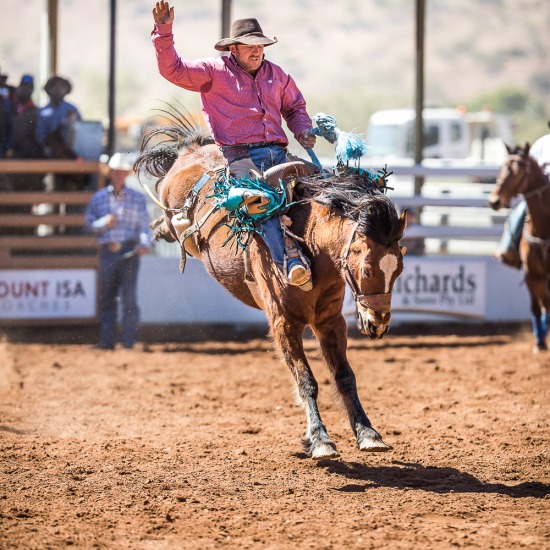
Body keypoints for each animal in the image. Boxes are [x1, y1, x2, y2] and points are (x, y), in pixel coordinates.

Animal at [136, 116, 408, 462]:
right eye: (368, 269)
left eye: (399, 269)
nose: (378, 323)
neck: (311, 246)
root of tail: (192, 149)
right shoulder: (283, 323)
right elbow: (306, 381)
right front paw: (319, 439)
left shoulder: (330, 321)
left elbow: (345, 376)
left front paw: (368, 433)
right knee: (174, 223)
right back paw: (164, 227)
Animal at [492, 143, 550, 354]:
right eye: (502, 167)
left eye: (518, 172)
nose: (494, 201)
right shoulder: (530, 273)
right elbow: (536, 307)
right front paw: (539, 342)